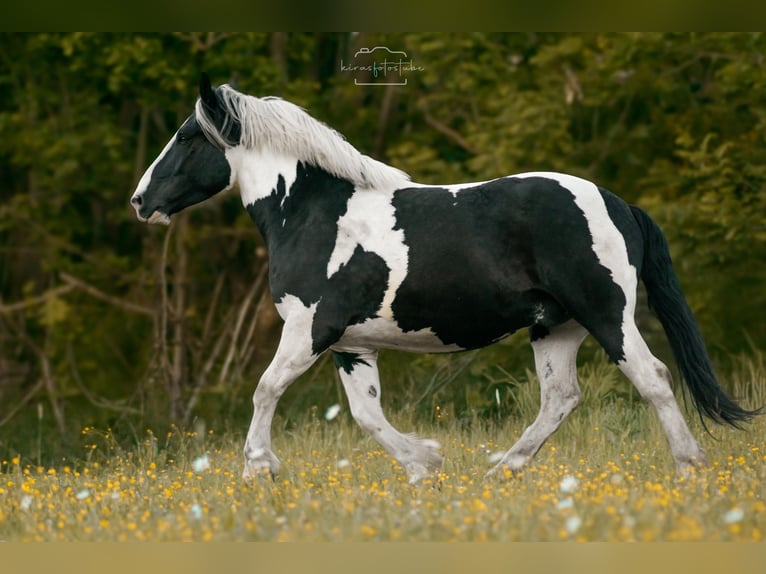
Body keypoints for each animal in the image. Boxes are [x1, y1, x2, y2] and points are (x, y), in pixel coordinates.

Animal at [130, 73, 759, 484]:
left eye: (187, 136)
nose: (141, 202)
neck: (311, 213)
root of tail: (617, 202)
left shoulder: (311, 328)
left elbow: (266, 389)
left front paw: (258, 468)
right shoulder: (352, 345)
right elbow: (366, 415)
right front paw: (425, 466)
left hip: (607, 314)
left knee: (653, 378)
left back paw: (690, 467)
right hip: (556, 327)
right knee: (561, 397)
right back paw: (502, 470)